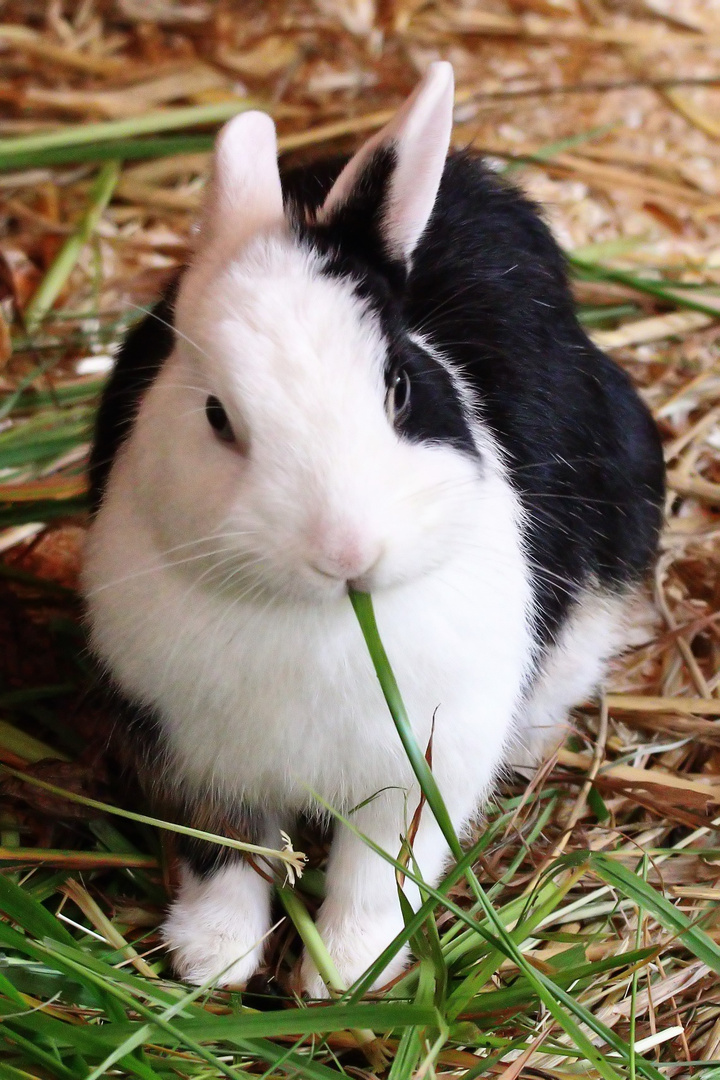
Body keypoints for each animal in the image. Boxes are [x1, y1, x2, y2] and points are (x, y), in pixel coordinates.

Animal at [80, 61, 664, 993]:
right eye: (216, 416)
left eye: (398, 386)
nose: (345, 551)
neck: (319, 622)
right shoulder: (198, 757)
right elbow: (226, 855)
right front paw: (212, 958)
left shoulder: (421, 767)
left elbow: (379, 870)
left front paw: (347, 974)